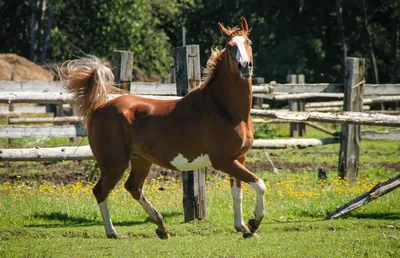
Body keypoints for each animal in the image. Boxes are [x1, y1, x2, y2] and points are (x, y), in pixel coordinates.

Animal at [61, 17, 266, 239]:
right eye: (229, 47)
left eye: (248, 42)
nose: (245, 66)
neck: (225, 108)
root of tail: (99, 107)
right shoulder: (223, 161)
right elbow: (259, 184)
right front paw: (254, 222)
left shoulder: (239, 158)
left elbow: (238, 192)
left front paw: (243, 228)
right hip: (114, 163)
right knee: (100, 191)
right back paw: (113, 232)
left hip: (140, 160)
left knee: (133, 187)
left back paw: (161, 226)